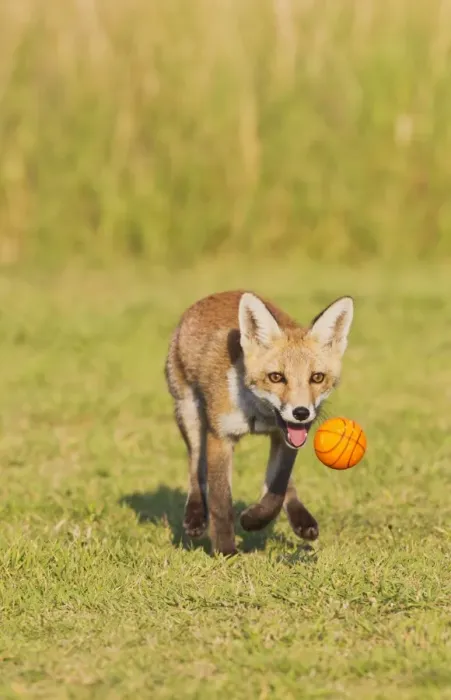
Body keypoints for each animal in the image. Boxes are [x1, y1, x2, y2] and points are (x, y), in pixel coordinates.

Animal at [164, 290, 354, 556]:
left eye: (317, 378)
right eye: (276, 377)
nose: (301, 413)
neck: (259, 414)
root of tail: (219, 294)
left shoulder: (285, 439)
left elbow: (276, 491)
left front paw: (253, 519)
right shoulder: (220, 437)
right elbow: (221, 501)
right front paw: (225, 551)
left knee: (283, 485)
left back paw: (300, 518)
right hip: (189, 415)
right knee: (195, 468)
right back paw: (195, 516)